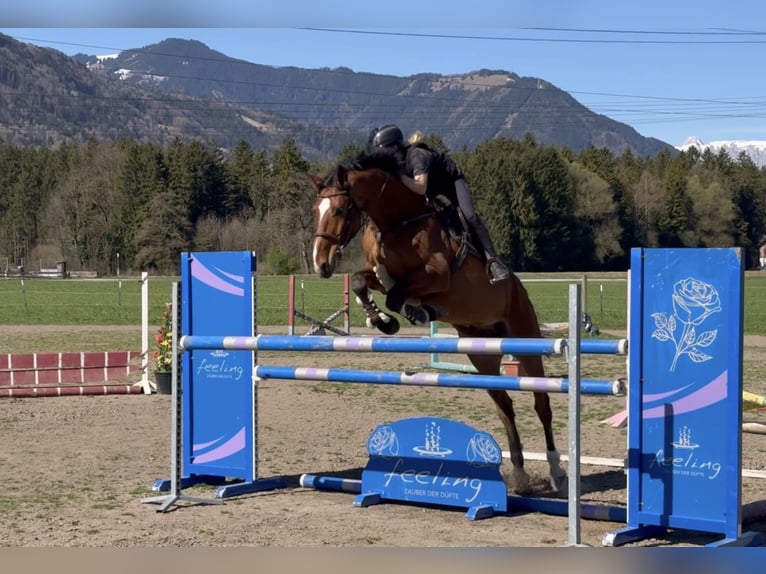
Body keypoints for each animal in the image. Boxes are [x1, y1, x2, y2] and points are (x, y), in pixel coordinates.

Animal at [308, 156, 567, 496]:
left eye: (338, 211)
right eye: (316, 211)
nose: (320, 264)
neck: (397, 223)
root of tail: (518, 288)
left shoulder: (438, 275)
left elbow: (397, 293)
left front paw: (408, 313)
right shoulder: (380, 274)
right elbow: (364, 281)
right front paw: (383, 321)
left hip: (526, 342)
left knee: (542, 403)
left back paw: (556, 472)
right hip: (482, 354)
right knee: (505, 407)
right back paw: (521, 475)